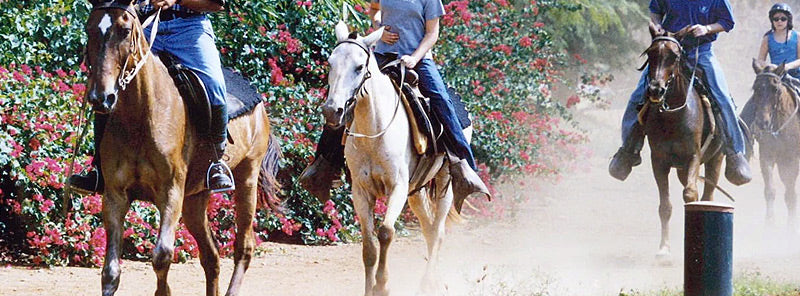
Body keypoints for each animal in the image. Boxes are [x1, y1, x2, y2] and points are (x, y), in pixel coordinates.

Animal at [83, 1, 282, 294]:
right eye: (89, 29)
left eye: (125, 29)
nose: (101, 97)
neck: (141, 115)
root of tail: (259, 103)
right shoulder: (115, 196)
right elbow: (110, 273)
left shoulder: (170, 193)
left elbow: (162, 256)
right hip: (194, 200)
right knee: (211, 256)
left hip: (247, 179)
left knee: (243, 247)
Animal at [322, 22, 466, 294]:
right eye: (330, 63)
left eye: (359, 67)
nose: (332, 110)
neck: (374, 132)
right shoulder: (361, 191)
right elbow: (369, 245)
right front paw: (370, 289)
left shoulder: (397, 187)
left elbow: (386, 232)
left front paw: (383, 285)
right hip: (417, 190)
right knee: (428, 229)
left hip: (445, 183)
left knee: (438, 231)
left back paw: (428, 283)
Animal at [636, 24, 724, 260]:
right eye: (650, 53)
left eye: (674, 56)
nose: (655, 90)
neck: (673, 116)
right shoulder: (658, 161)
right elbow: (665, 206)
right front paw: (664, 249)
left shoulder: (694, 156)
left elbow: (691, 195)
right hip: (681, 169)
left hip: (715, 159)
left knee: (707, 195)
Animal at [740, 60, 796, 231]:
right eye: (755, 88)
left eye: (775, 89)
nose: (762, 122)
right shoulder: (767, 155)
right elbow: (770, 190)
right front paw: (769, 223)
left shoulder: (792, 160)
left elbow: (790, 194)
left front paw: (791, 227)